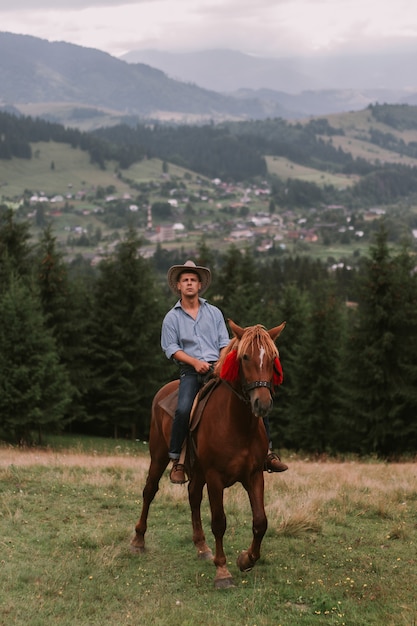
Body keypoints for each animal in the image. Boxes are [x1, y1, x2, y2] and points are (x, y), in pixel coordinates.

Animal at [131, 320, 286, 588]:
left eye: (272, 358)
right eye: (245, 357)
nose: (262, 404)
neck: (237, 424)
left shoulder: (254, 475)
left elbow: (260, 521)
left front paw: (246, 559)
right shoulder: (215, 478)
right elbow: (219, 522)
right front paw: (222, 572)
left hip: (197, 471)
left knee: (193, 496)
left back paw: (202, 547)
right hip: (159, 457)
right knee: (149, 491)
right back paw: (138, 541)